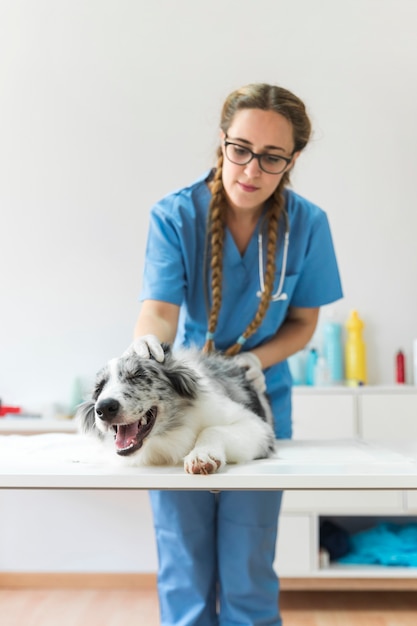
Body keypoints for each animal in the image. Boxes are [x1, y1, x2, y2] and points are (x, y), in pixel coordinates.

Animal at [76, 342, 274, 472]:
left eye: (137, 375)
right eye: (99, 388)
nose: (104, 408)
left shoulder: (258, 427)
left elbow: (213, 429)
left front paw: (202, 455)